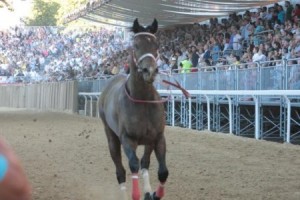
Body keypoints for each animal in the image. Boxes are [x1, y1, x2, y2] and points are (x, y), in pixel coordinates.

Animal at [98, 18, 169, 199]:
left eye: (156, 44)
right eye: (136, 45)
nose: (149, 70)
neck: (143, 100)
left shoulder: (157, 137)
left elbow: (162, 171)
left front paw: (154, 194)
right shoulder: (128, 139)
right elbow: (133, 165)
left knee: (145, 163)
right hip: (111, 136)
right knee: (120, 171)